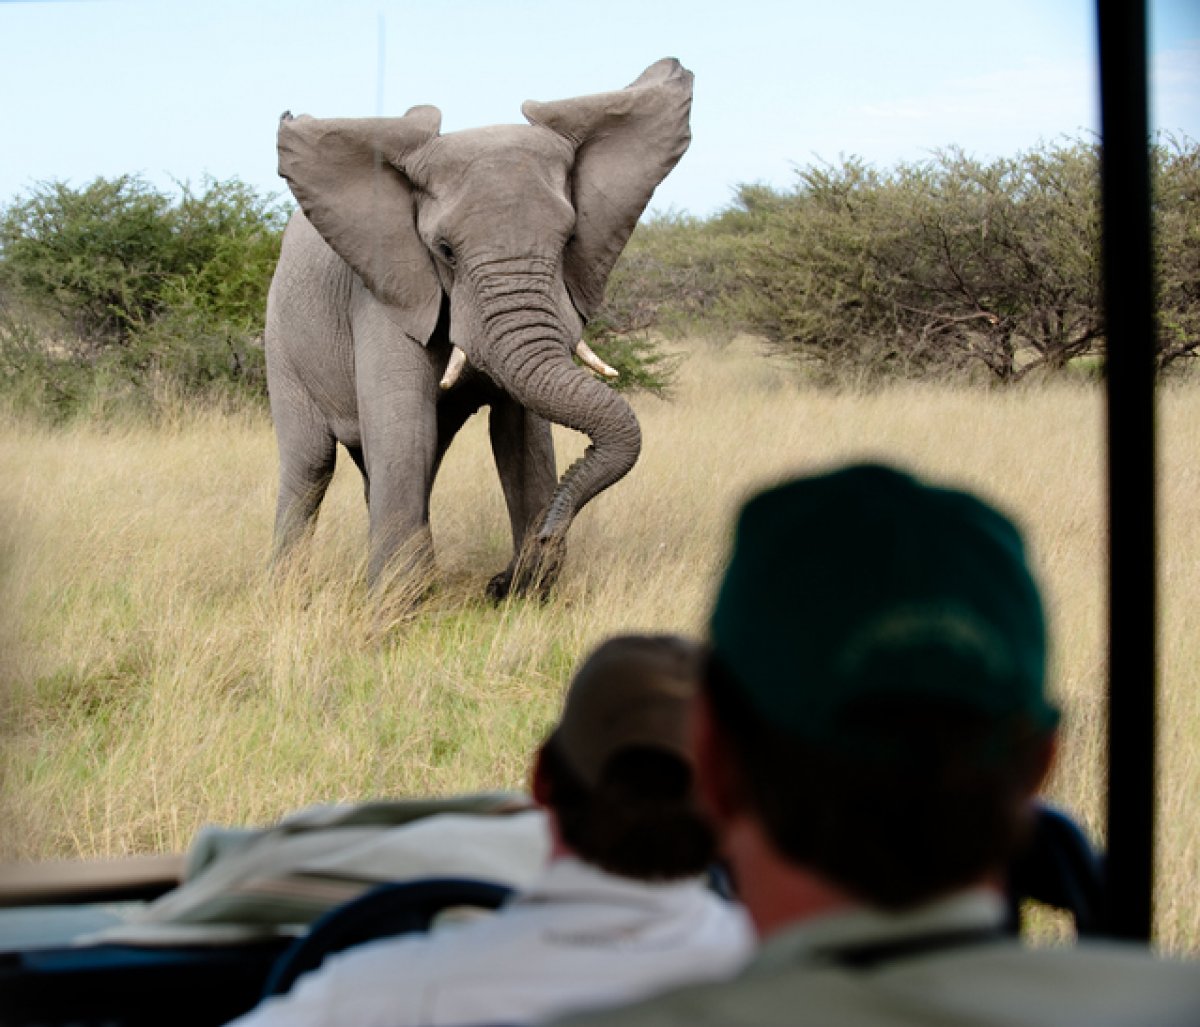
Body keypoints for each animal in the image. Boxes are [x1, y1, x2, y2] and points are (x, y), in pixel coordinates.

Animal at [266, 60, 691, 597]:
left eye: (568, 239)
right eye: (445, 251)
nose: (549, 534)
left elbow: (521, 437)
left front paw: (524, 590)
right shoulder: (389, 292)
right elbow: (405, 431)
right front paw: (394, 607)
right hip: (281, 341)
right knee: (311, 463)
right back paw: (287, 591)